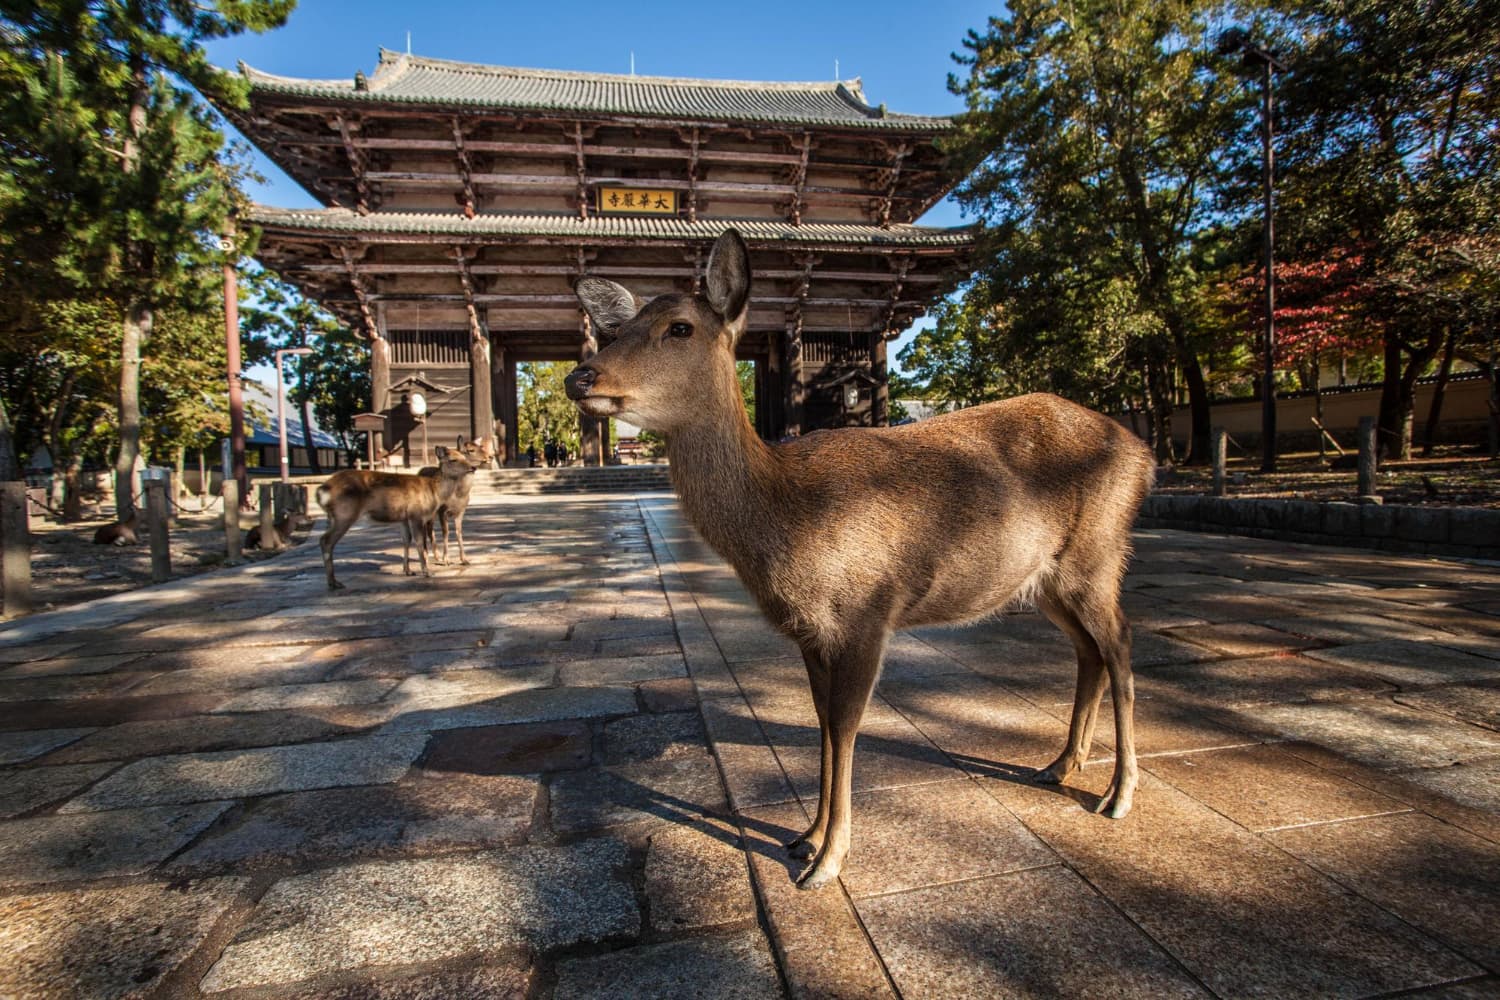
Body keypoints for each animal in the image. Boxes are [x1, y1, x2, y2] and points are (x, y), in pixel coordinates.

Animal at [315, 445, 479, 590]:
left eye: (464, 456)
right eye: (453, 459)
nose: (473, 467)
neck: (435, 491)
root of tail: (322, 490)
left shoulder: (403, 519)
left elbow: (406, 540)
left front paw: (408, 571)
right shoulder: (416, 514)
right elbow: (419, 542)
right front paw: (427, 572)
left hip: (332, 517)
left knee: (324, 539)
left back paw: (333, 581)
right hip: (345, 514)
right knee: (326, 540)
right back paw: (333, 583)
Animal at [419, 434, 493, 565]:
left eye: (481, 446)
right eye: (470, 450)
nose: (491, 456)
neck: (458, 495)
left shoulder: (461, 511)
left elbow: (459, 532)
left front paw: (464, 559)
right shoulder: (442, 511)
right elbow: (446, 532)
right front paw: (446, 559)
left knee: (429, 529)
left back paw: (436, 556)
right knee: (423, 530)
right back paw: (427, 557)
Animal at [566, 230, 1155, 891]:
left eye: (679, 327)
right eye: (618, 328)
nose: (580, 377)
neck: (791, 525)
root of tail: (1146, 454)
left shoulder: (868, 613)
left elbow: (846, 726)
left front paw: (827, 862)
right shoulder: (809, 631)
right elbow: (823, 722)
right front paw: (804, 838)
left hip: (1099, 555)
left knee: (1122, 645)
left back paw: (1118, 793)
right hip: (1048, 581)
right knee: (1090, 652)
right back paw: (1058, 766)